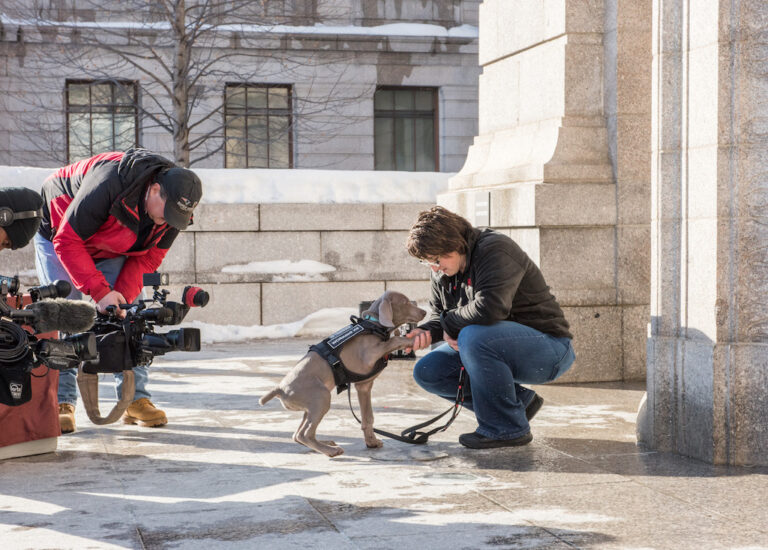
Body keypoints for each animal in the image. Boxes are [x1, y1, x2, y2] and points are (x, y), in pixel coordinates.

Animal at [260, 292, 426, 460]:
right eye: (405, 302)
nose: (425, 312)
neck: (374, 325)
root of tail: (280, 389)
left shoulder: (364, 386)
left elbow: (368, 418)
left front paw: (371, 442)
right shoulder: (368, 355)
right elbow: (394, 339)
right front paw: (413, 339)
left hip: (310, 406)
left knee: (297, 434)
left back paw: (326, 443)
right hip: (321, 397)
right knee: (304, 434)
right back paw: (331, 450)